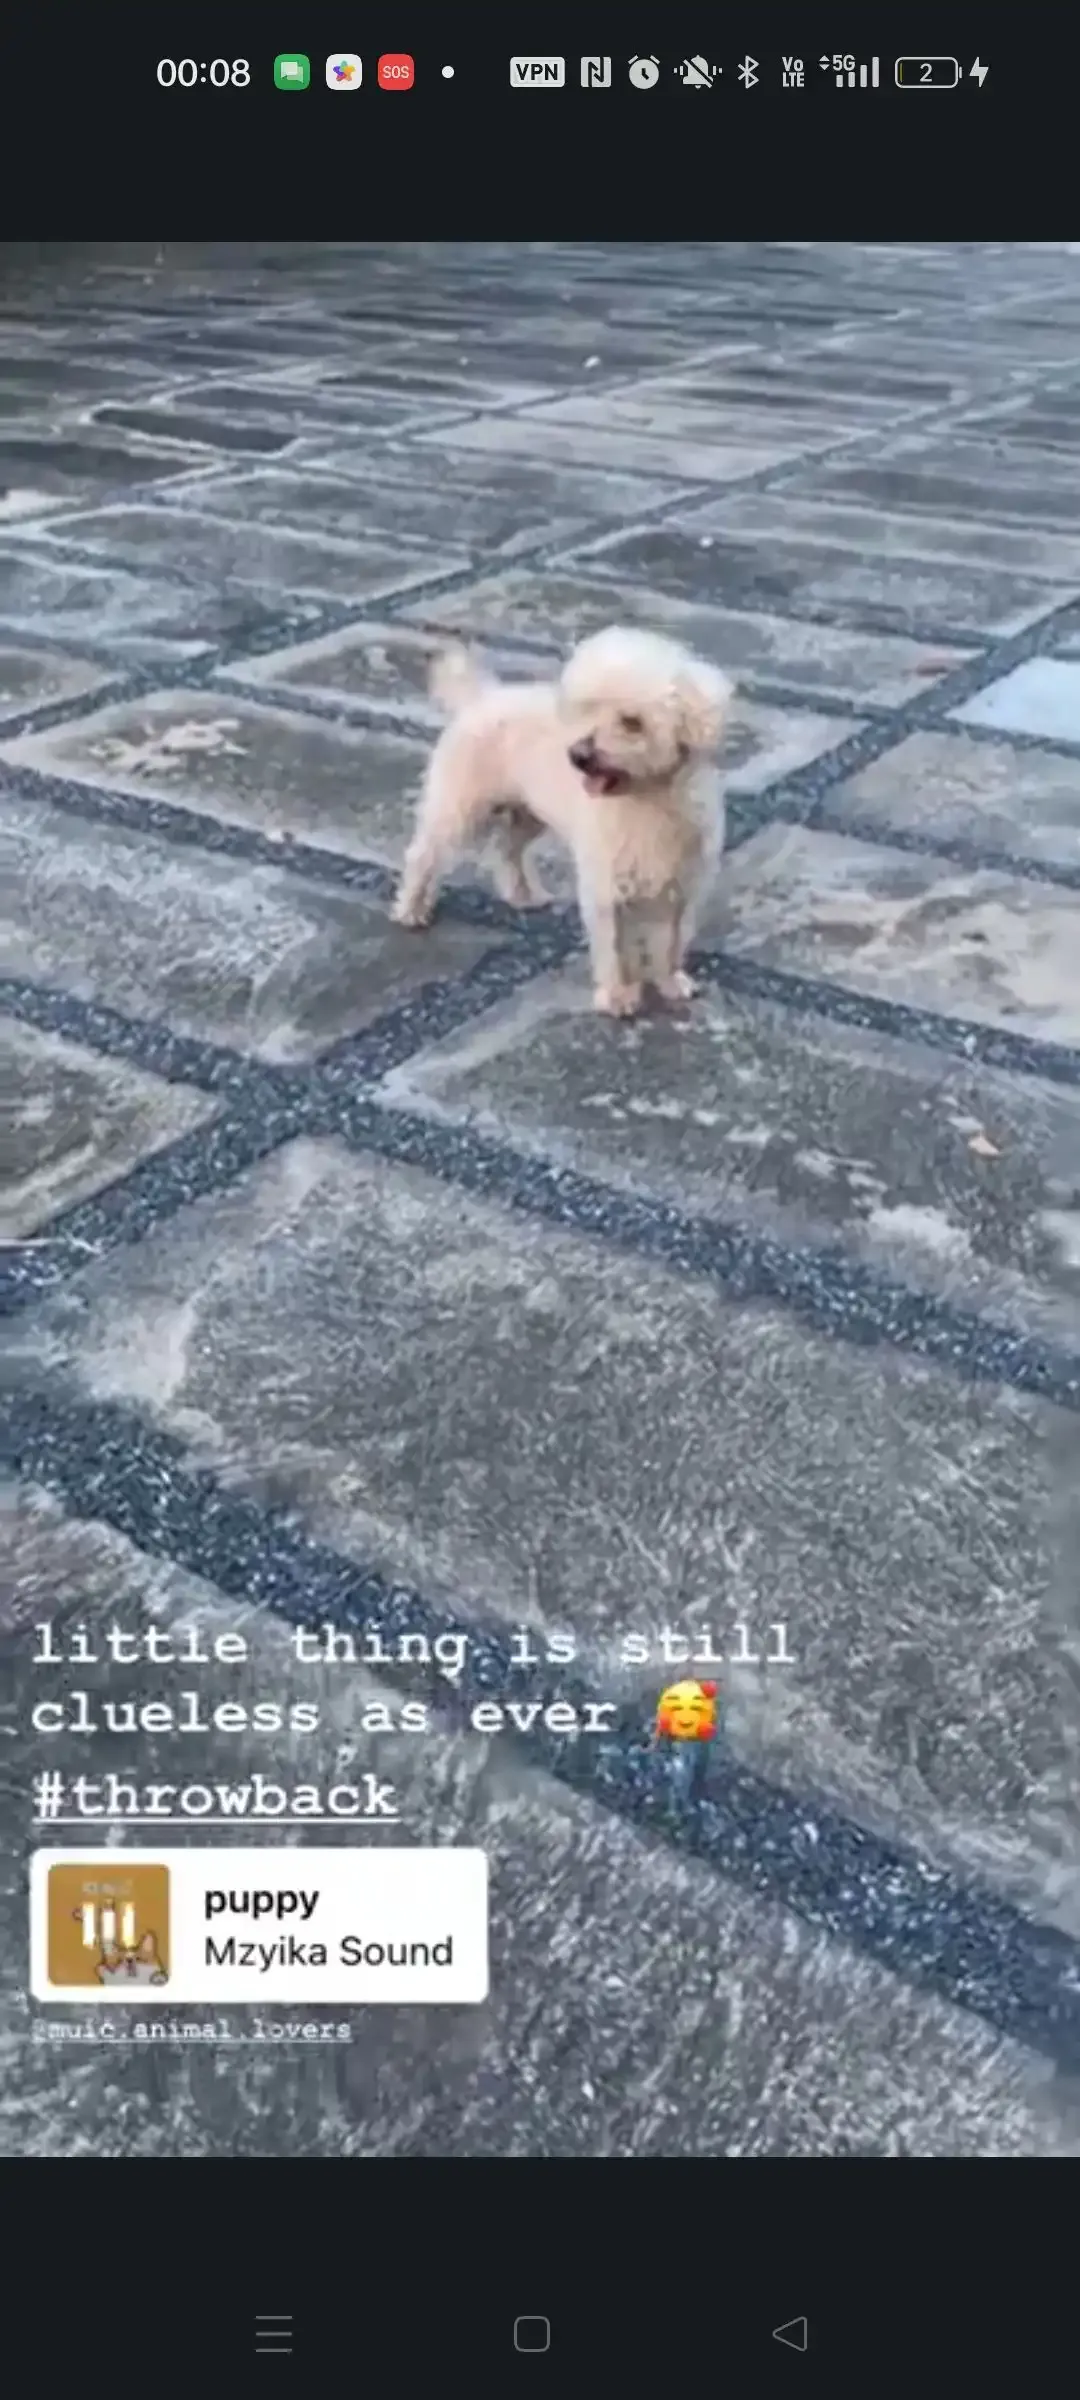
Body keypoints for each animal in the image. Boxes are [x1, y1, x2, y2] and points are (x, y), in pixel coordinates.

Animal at [392, 626, 733, 1016]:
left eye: (632, 722)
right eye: (588, 710)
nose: (578, 756)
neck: (649, 798)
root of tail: (482, 697)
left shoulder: (684, 884)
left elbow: (673, 940)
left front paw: (670, 981)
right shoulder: (606, 884)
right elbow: (614, 947)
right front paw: (618, 996)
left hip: (527, 811)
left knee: (506, 848)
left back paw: (523, 894)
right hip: (460, 806)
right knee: (424, 854)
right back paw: (412, 909)